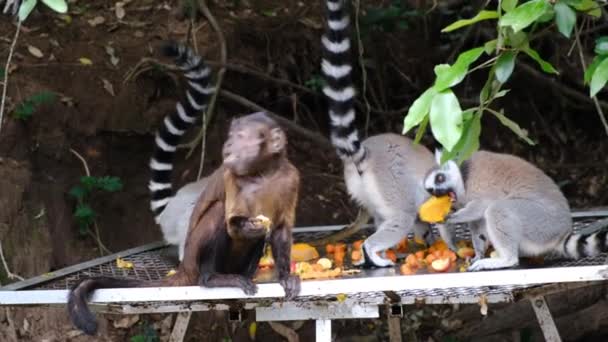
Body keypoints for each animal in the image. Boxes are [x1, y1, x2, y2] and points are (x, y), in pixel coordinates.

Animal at [67, 41, 302, 336]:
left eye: (242, 138)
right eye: (233, 138)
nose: (229, 147)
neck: (263, 173)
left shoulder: (290, 176)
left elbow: (280, 228)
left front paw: (285, 274)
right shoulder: (232, 176)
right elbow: (232, 220)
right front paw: (247, 225)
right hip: (193, 256)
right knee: (216, 214)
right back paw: (211, 278)